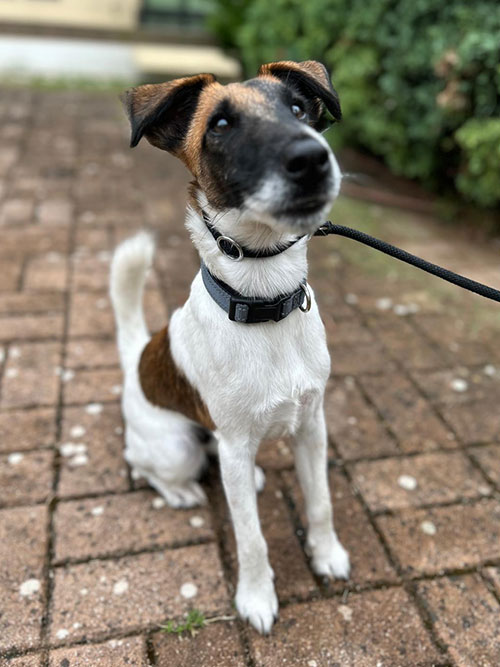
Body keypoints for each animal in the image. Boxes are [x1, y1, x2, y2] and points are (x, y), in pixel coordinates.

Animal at [110, 60, 348, 636]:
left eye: (298, 108)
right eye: (219, 125)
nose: (312, 158)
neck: (265, 301)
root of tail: (136, 361)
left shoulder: (313, 426)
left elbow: (321, 503)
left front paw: (328, 555)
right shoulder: (238, 445)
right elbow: (252, 538)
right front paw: (257, 598)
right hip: (174, 446)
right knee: (144, 463)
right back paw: (181, 490)